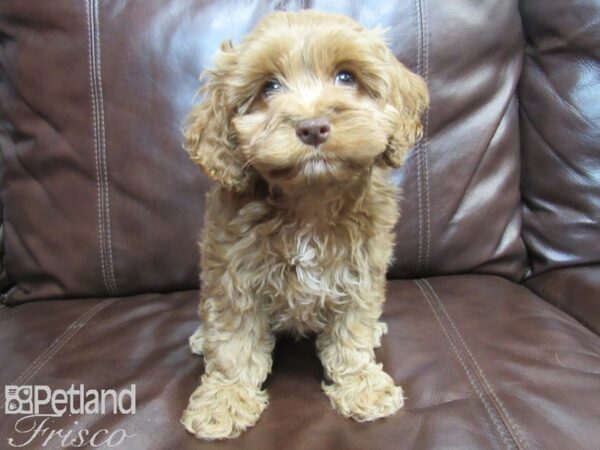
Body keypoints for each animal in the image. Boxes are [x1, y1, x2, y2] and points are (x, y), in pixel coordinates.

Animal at [180, 9, 428, 440]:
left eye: (346, 77)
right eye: (269, 87)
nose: (313, 126)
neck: (311, 199)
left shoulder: (361, 271)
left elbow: (352, 331)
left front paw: (360, 384)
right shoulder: (232, 275)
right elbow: (233, 342)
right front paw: (225, 400)